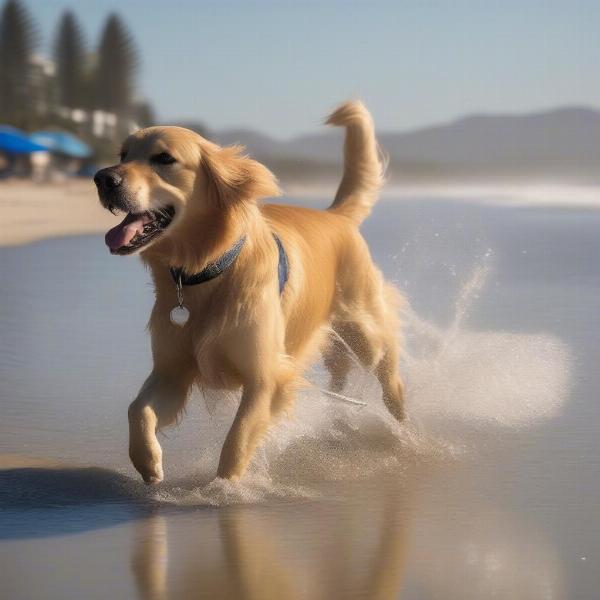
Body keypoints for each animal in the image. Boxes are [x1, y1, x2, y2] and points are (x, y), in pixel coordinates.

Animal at [92, 98, 404, 482]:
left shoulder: (265, 377)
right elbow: (137, 409)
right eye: (123, 154)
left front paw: (224, 488)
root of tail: (337, 215)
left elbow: (237, 442)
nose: (102, 178)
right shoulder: (172, 371)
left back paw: (405, 425)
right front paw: (148, 462)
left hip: (365, 331)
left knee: (389, 369)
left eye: (164, 158)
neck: (207, 271)